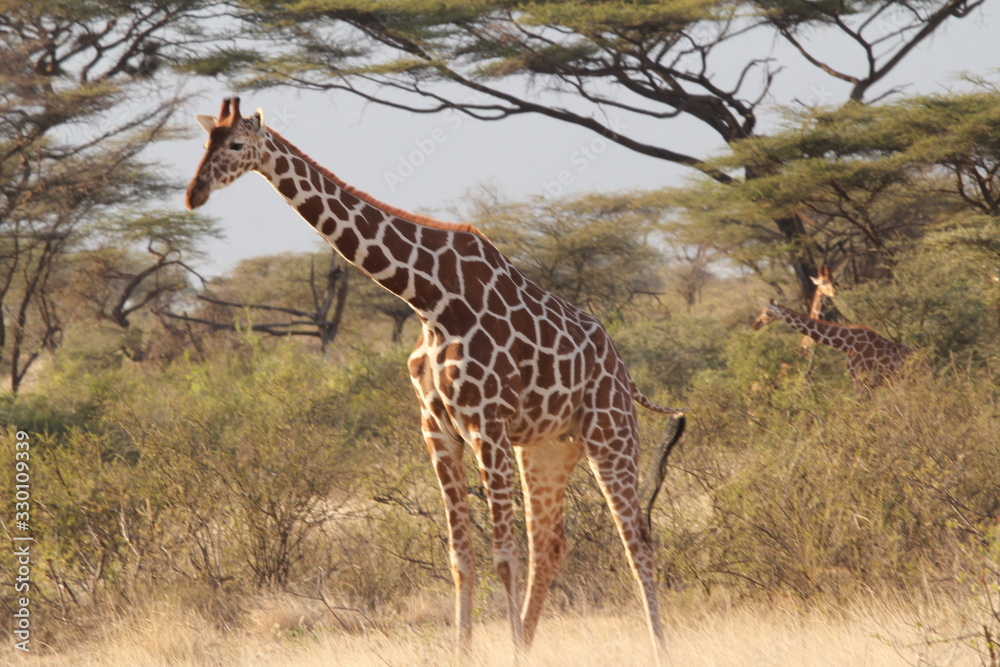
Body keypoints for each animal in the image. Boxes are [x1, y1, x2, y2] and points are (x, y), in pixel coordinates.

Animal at [185, 98, 686, 661]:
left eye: (235, 145)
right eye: (203, 143)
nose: (194, 193)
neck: (429, 299)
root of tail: (623, 370)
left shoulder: (486, 426)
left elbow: (502, 555)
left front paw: (505, 652)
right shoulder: (438, 429)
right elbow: (460, 557)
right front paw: (468, 653)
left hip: (610, 432)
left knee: (635, 538)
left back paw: (659, 650)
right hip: (547, 447)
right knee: (550, 545)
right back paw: (532, 643)